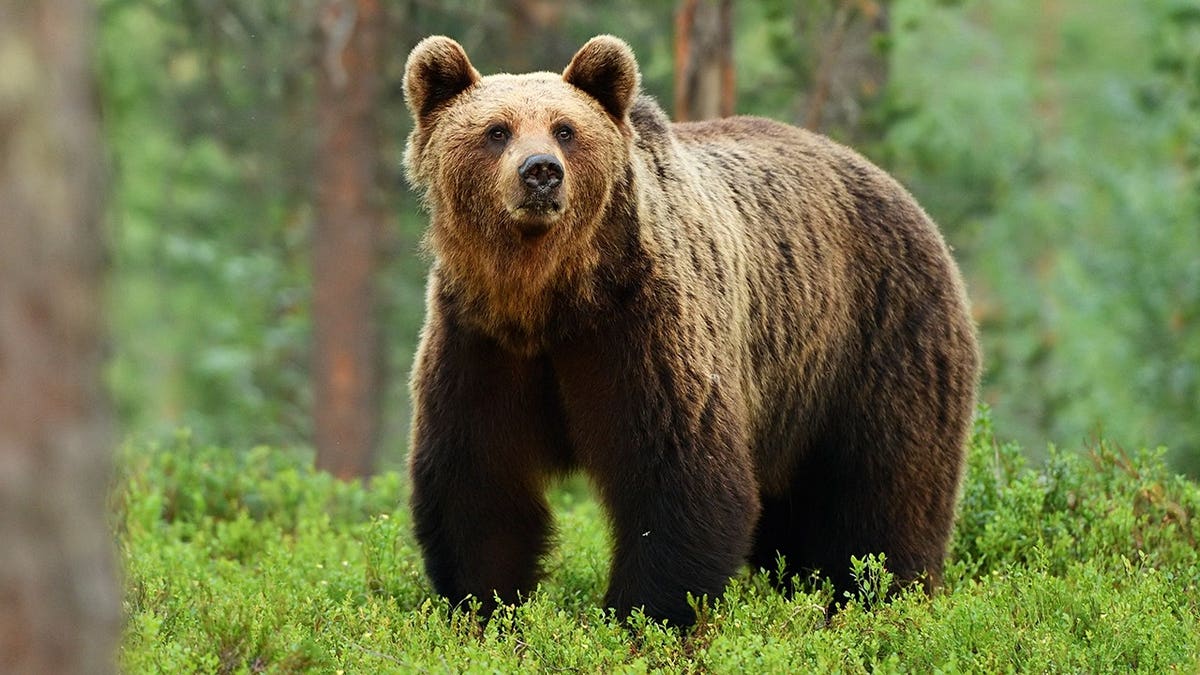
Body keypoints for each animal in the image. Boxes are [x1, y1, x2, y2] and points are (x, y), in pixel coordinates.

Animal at [402, 34, 980, 626]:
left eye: (566, 129)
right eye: (496, 131)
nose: (541, 171)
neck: (550, 297)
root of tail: (902, 194)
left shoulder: (643, 330)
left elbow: (679, 476)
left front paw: (642, 617)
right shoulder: (480, 340)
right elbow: (479, 485)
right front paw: (487, 608)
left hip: (878, 339)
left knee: (887, 491)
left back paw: (880, 597)